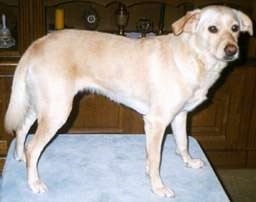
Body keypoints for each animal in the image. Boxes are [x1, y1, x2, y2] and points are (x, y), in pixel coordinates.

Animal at [4, 5, 252, 197]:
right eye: (212, 29)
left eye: (235, 28)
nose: (232, 50)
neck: (193, 56)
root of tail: (37, 43)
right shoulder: (157, 122)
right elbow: (156, 159)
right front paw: (158, 187)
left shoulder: (180, 116)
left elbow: (182, 144)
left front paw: (188, 162)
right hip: (57, 111)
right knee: (33, 148)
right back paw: (33, 182)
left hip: (42, 106)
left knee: (22, 129)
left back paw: (18, 157)